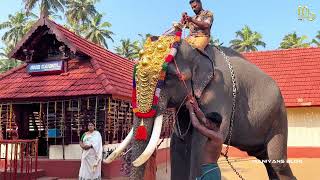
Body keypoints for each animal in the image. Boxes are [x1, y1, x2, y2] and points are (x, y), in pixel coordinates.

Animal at [104, 31, 296, 179]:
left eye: (169, 76)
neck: (197, 53)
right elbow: (178, 141)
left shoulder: (220, 91)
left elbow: (200, 142)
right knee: (267, 160)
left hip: (279, 118)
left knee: (277, 161)